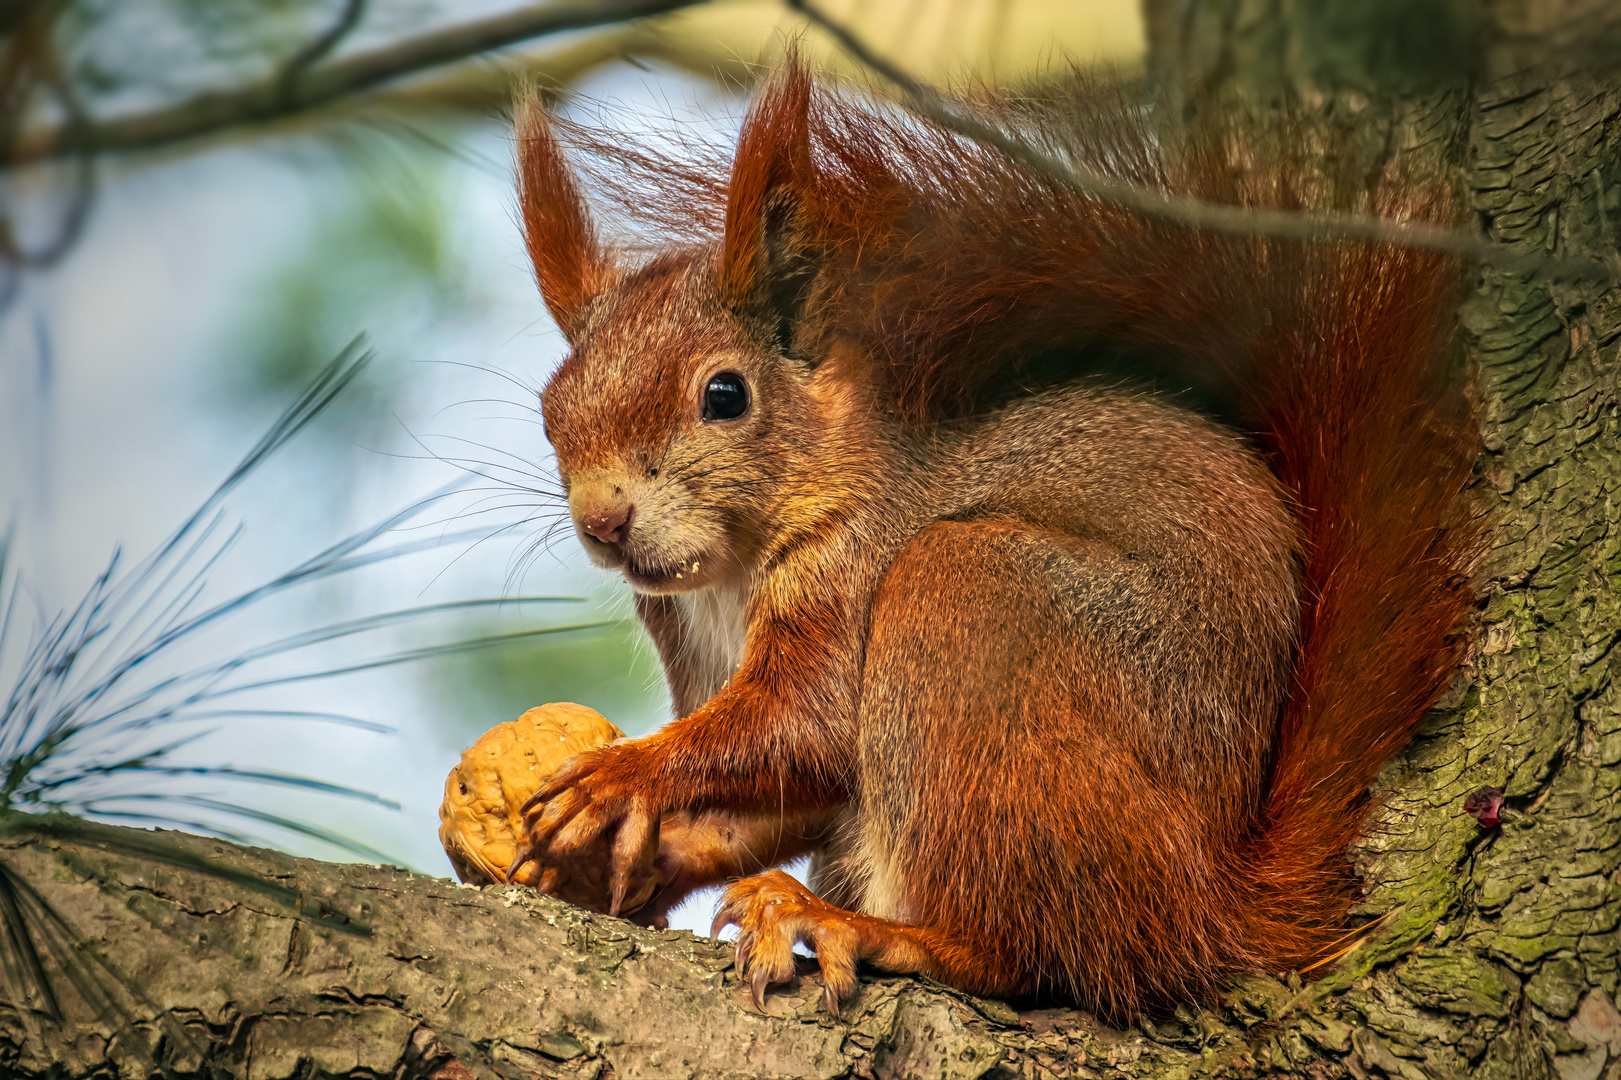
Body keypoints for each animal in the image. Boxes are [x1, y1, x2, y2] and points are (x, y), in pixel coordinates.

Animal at [505, 63, 1484, 1024]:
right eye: (549, 410)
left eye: (724, 395)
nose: (603, 521)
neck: (728, 576)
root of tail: (1212, 899)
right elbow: (789, 798)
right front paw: (631, 858)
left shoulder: (858, 565)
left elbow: (805, 726)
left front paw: (623, 773)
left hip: (973, 603)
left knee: (1035, 951)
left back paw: (861, 927)